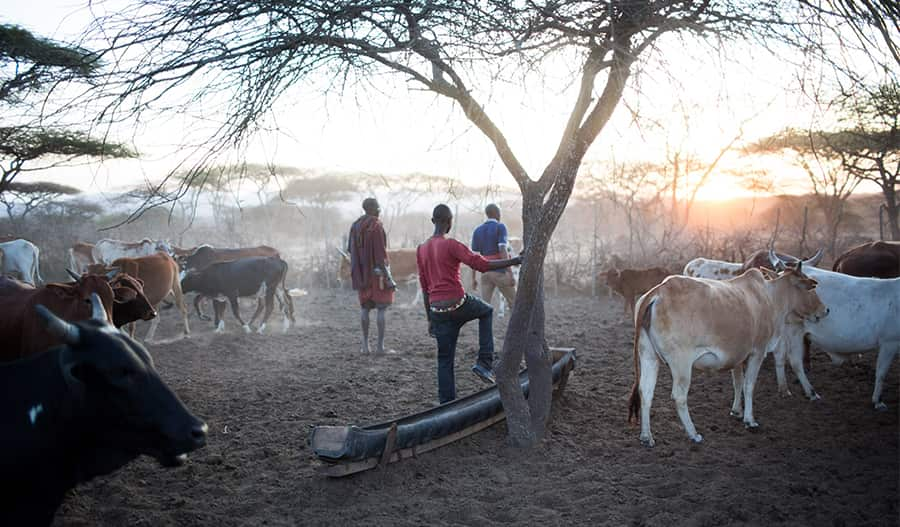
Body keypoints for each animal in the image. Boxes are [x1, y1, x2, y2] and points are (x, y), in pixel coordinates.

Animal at [624, 264, 828, 446]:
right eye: (811, 288)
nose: (825, 310)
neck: (769, 298)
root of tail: (659, 290)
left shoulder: (737, 355)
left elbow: (737, 383)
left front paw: (737, 411)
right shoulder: (757, 351)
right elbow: (749, 385)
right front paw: (750, 420)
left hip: (648, 356)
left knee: (646, 392)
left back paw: (646, 437)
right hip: (681, 362)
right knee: (679, 396)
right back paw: (693, 434)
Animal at [768, 258, 900, 410]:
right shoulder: (890, 342)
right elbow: (881, 372)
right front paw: (878, 400)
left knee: (779, 355)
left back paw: (784, 390)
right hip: (794, 330)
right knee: (795, 361)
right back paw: (811, 392)